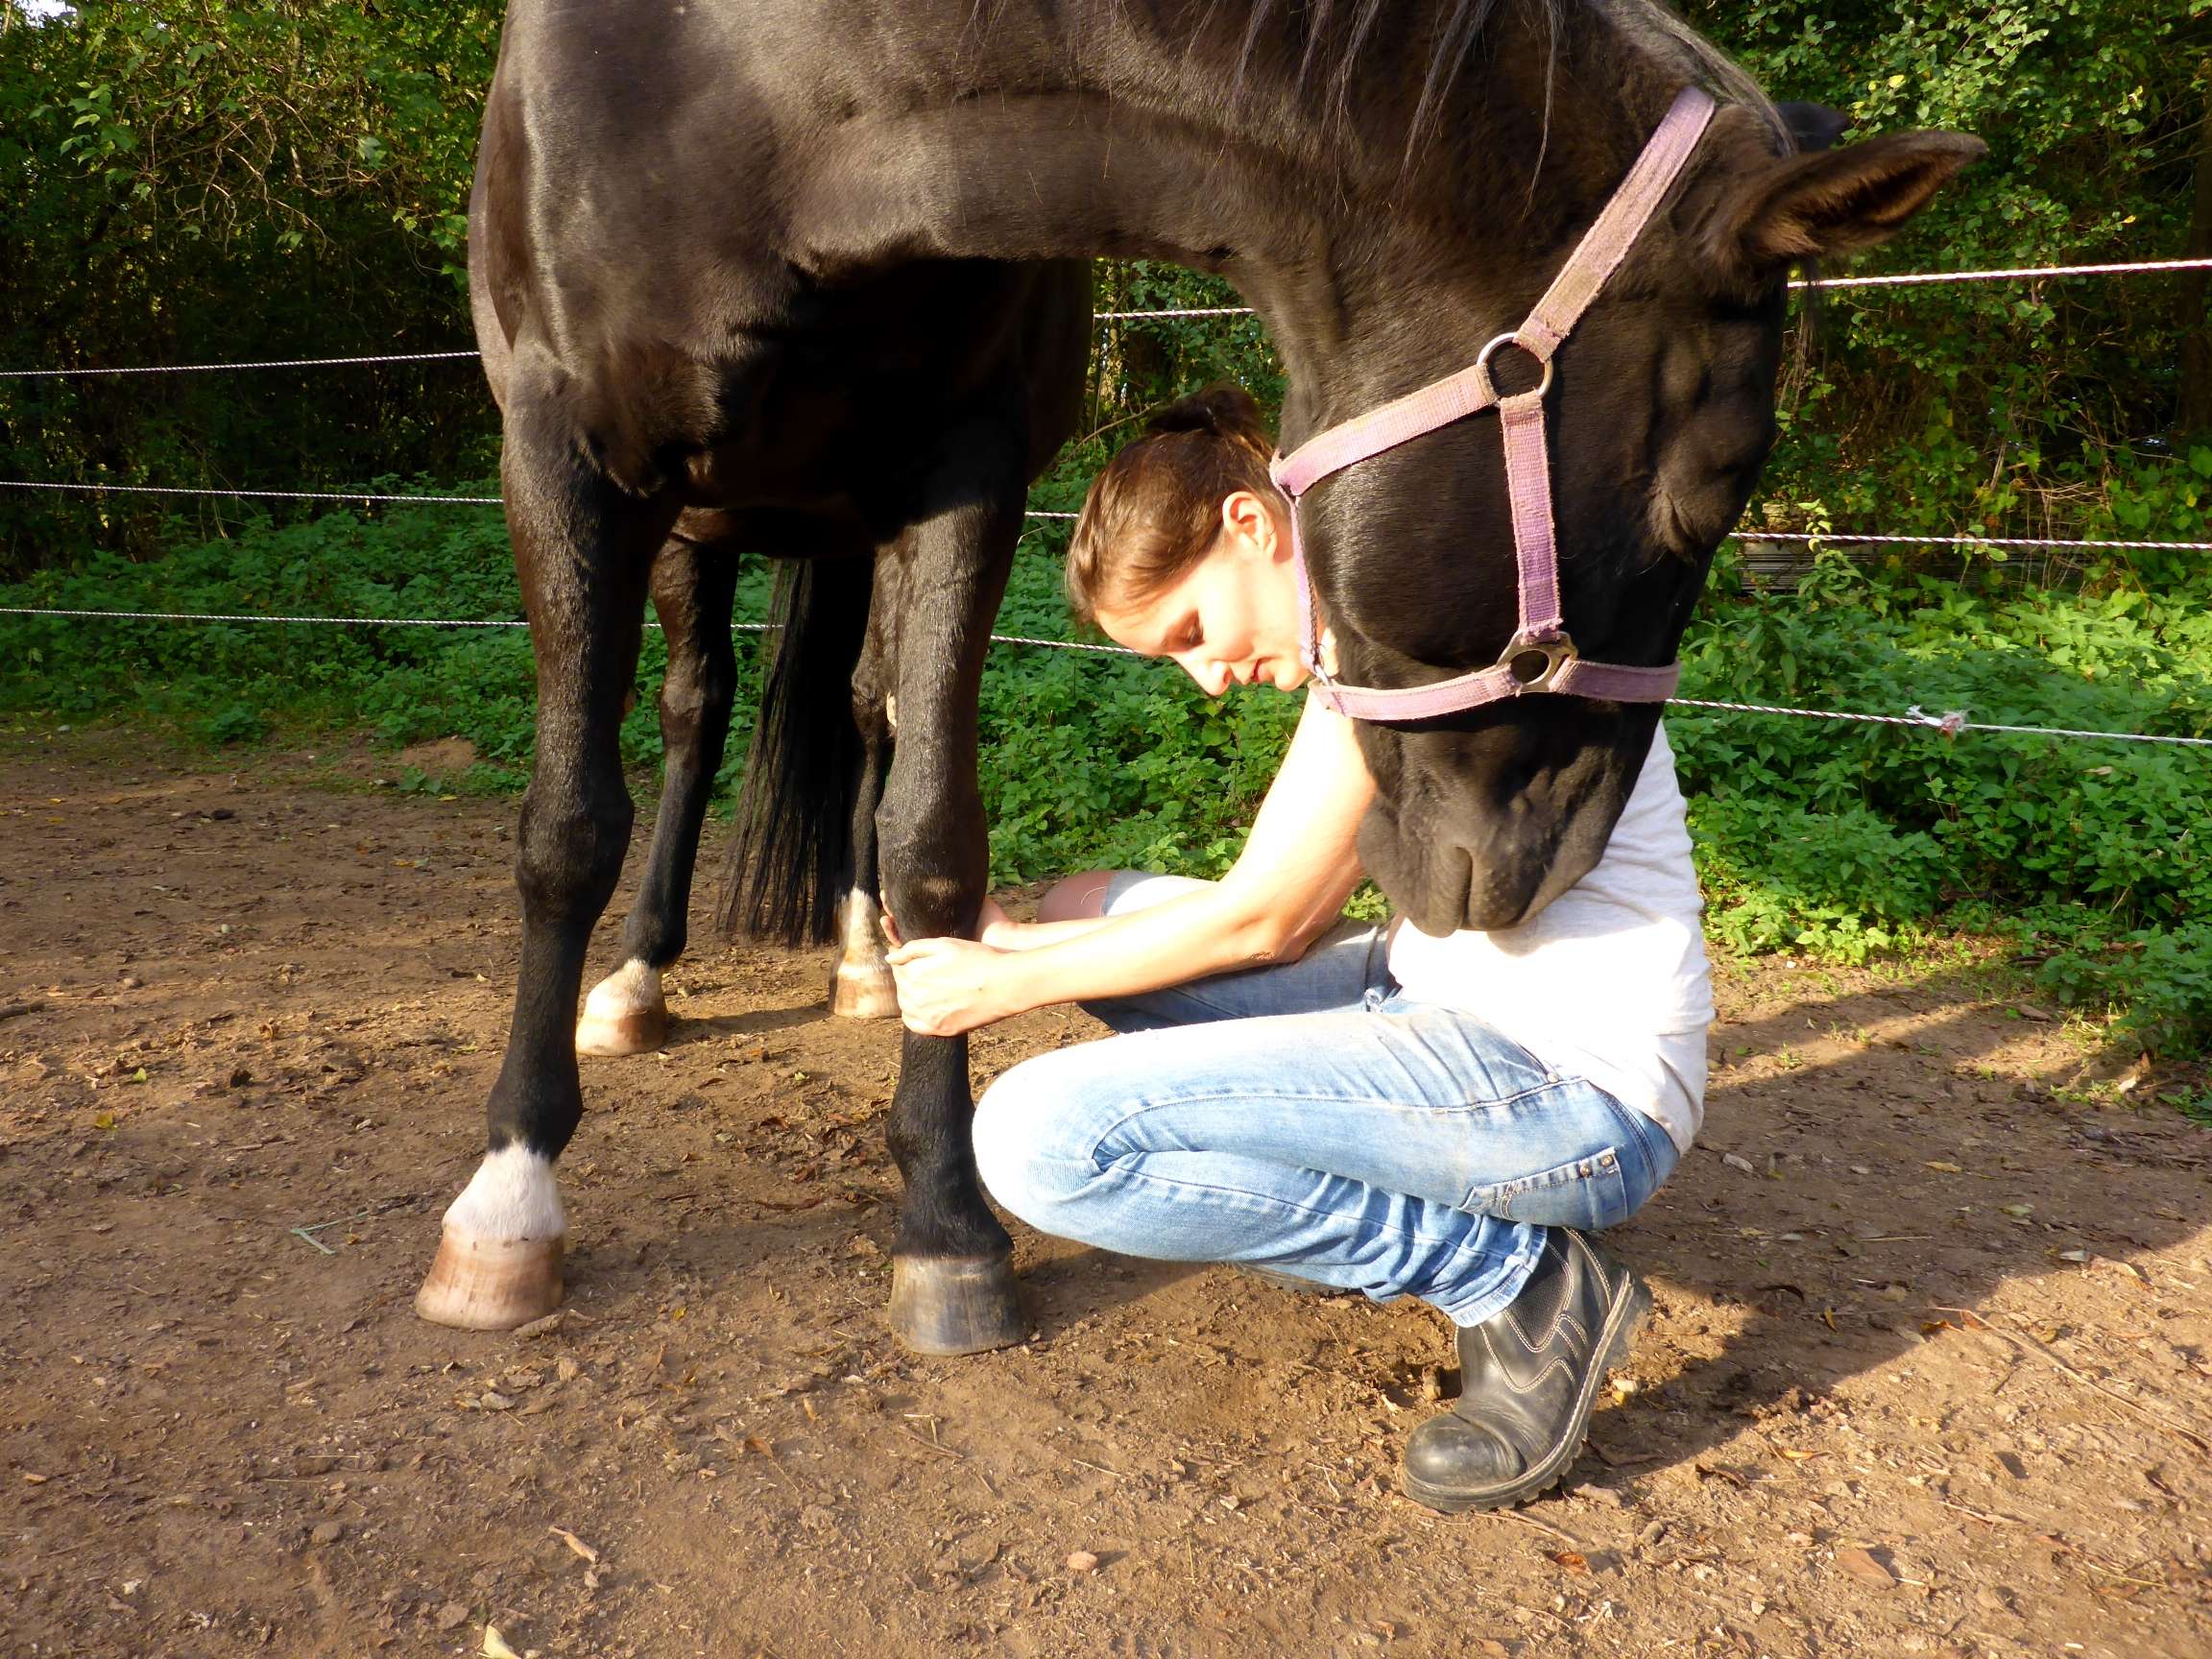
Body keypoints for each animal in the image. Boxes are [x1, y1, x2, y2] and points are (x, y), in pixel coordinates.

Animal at [413, 0, 1982, 1356]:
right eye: (1709, 494)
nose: (1549, 867)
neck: (762, 87)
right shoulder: (557, 456)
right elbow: (568, 824)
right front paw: (507, 1197)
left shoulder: (963, 472)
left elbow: (933, 833)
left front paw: (946, 1223)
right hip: (695, 529)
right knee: (694, 714)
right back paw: (636, 981)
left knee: (861, 717)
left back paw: (857, 959)